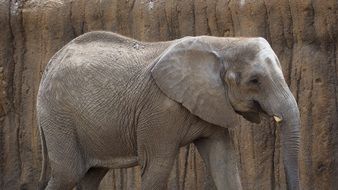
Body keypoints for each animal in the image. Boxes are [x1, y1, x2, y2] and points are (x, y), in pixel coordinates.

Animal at [37, 31, 300, 190]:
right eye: (255, 80)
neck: (222, 44)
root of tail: (50, 63)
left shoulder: (210, 103)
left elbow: (223, 162)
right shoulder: (160, 110)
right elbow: (157, 167)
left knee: (91, 175)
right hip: (58, 115)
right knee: (68, 174)